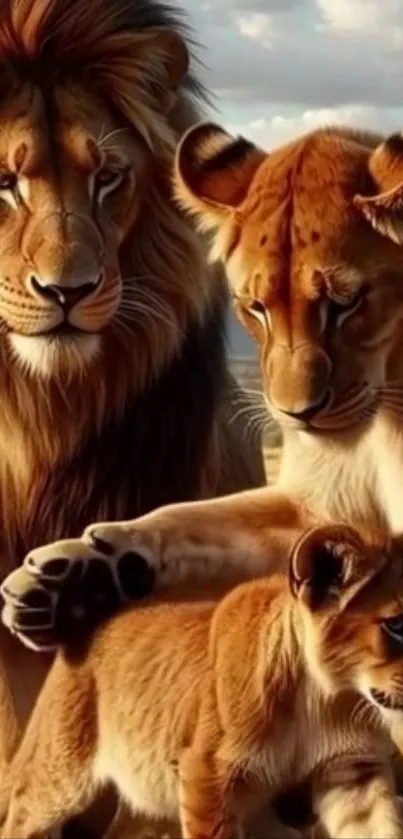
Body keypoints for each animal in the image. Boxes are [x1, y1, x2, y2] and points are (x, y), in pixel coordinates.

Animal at [3, 524, 403, 839]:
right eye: (396, 625)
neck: (326, 697)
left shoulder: (352, 772)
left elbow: (379, 827)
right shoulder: (206, 773)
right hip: (61, 770)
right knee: (19, 815)